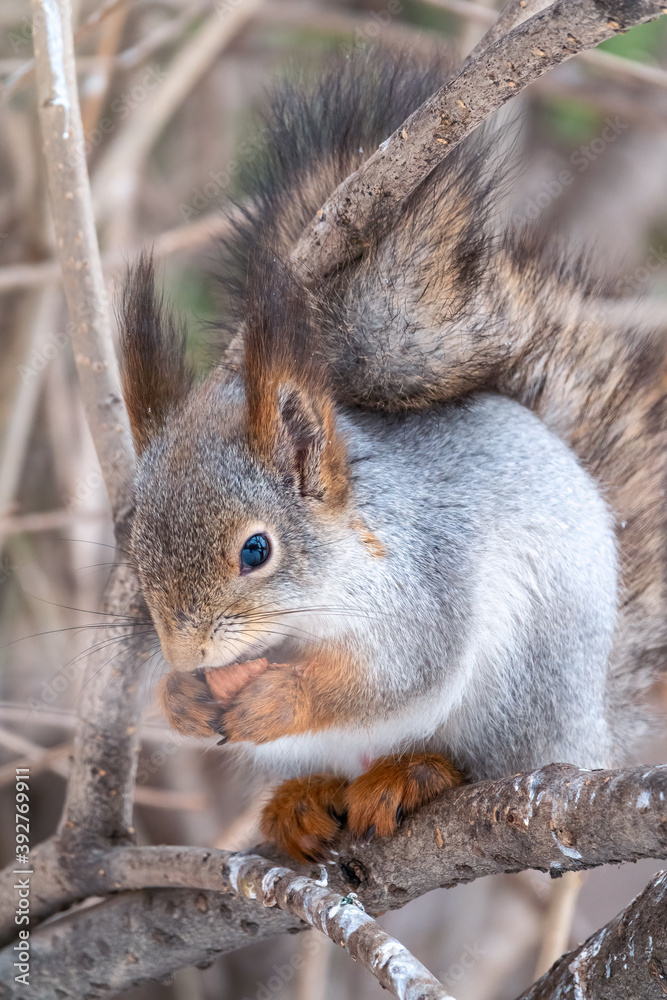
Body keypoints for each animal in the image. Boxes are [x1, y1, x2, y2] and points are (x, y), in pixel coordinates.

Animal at [119, 48, 666, 862]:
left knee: (474, 758)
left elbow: (395, 675)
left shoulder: (424, 585)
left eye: (256, 550)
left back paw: (415, 772)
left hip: (519, 688)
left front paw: (280, 695)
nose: (187, 654)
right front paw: (178, 697)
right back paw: (302, 801)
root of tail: (591, 731)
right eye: (133, 543)